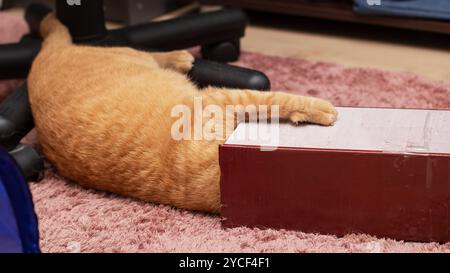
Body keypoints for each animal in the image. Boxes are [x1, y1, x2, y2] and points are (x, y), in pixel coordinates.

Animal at [28, 14, 336, 212]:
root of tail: (41, 56)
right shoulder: (224, 98)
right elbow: (277, 98)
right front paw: (322, 108)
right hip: (129, 52)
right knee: (149, 52)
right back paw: (179, 57)